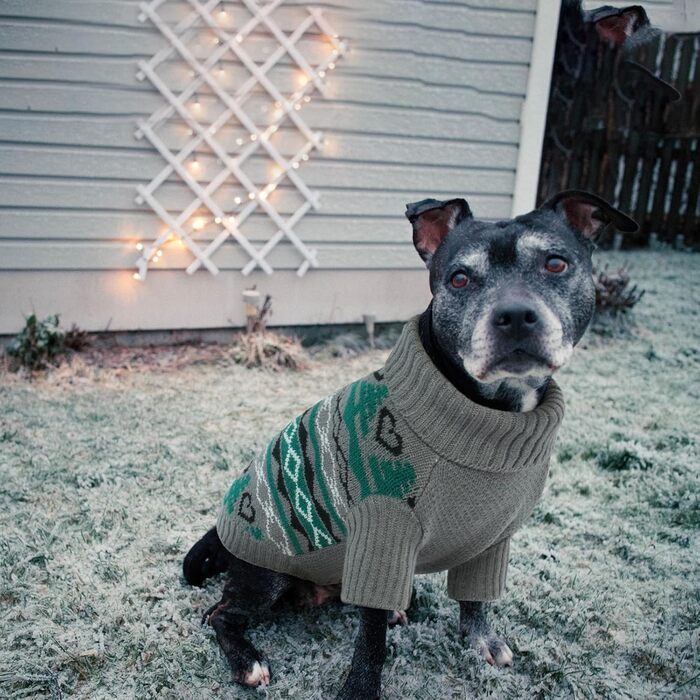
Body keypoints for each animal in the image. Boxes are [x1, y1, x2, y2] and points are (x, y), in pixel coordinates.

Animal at [183, 189, 636, 696]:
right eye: (459, 278)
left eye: (555, 264)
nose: (516, 315)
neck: (492, 413)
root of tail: (219, 531)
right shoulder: (382, 536)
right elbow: (371, 641)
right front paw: (359, 691)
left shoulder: (492, 540)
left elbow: (475, 599)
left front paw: (481, 640)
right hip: (269, 574)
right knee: (219, 615)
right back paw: (248, 661)